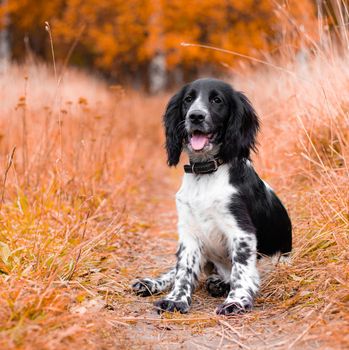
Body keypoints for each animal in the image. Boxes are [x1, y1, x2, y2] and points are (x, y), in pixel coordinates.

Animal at [131, 77, 290, 314]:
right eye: (188, 99)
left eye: (217, 100)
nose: (195, 116)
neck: (205, 173)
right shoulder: (188, 231)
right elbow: (183, 269)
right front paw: (176, 299)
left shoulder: (241, 231)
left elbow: (241, 269)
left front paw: (236, 301)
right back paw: (150, 283)